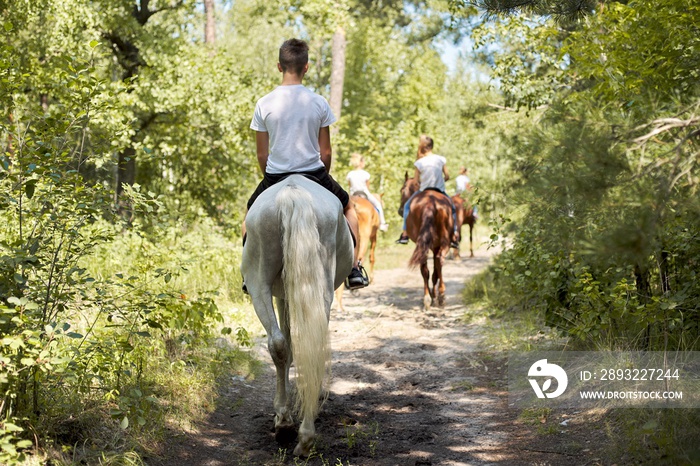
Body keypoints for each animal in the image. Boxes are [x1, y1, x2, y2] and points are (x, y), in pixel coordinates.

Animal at [241, 175, 352, 456]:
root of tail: (293, 192)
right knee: (307, 346)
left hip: (258, 284)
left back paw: (288, 425)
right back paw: (302, 434)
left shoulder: (283, 295)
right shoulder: (285, 296)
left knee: (278, 344)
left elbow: (287, 348)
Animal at [400, 172, 454, 310]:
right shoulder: (435, 246)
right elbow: (435, 272)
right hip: (443, 242)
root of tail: (430, 203)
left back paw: (428, 298)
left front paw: (432, 295)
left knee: (426, 269)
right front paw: (434, 295)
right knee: (438, 261)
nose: (400, 210)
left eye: (401, 190)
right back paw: (439, 295)